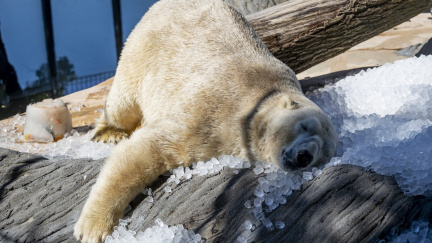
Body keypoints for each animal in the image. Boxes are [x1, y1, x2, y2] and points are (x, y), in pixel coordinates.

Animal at [73, 0, 338, 241]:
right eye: (304, 125)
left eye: (323, 155)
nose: (305, 155)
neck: (257, 99)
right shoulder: (212, 108)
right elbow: (146, 151)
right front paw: (92, 228)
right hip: (142, 48)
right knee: (123, 99)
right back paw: (109, 133)